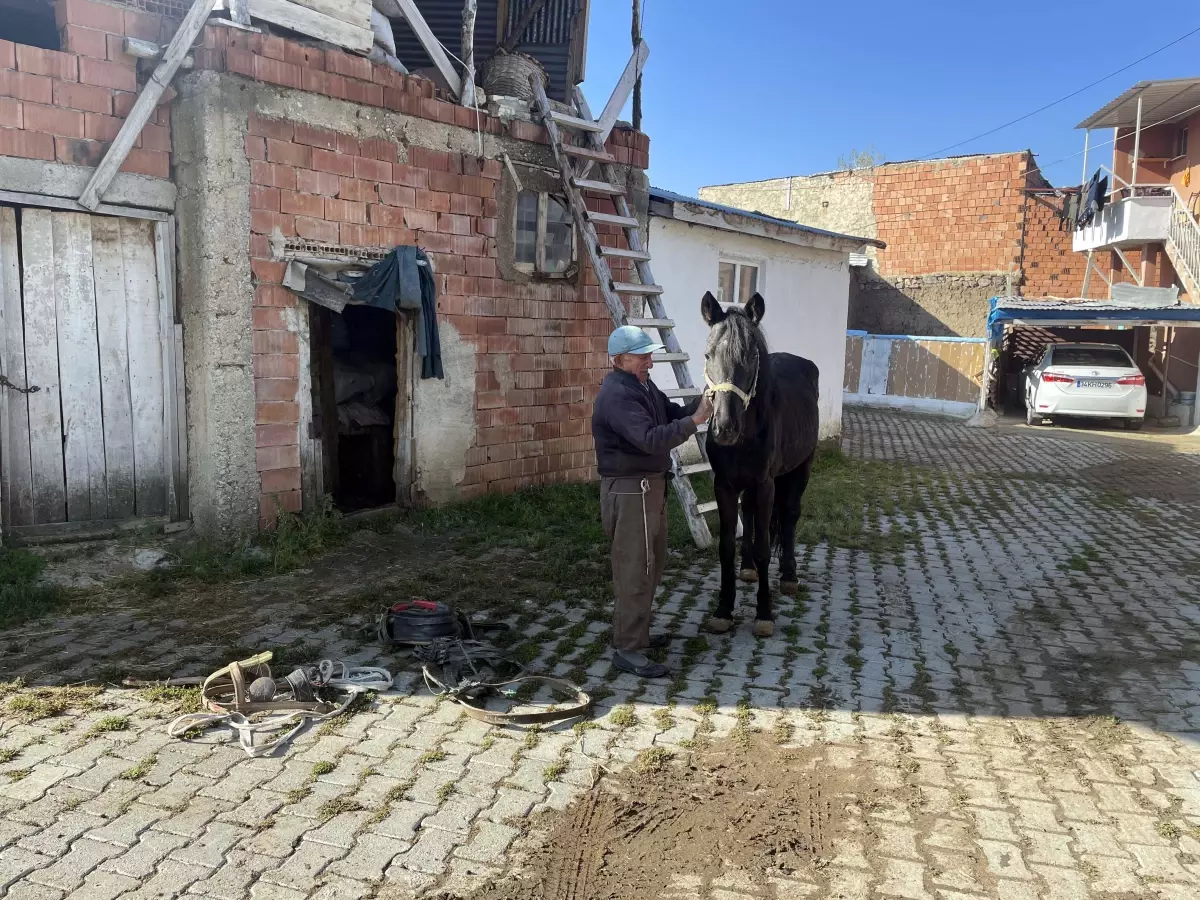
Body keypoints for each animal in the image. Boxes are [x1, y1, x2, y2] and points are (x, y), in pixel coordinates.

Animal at [700, 292, 820, 638]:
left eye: (751, 356)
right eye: (708, 354)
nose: (725, 428)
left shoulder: (766, 484)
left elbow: (767, 546)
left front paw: (764, 613)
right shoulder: (724, 484)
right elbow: (727, 545)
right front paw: (724, 610)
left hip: (800, 469)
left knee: (790, 515)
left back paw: (790, 576)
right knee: (751, 513)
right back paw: (748, 568)